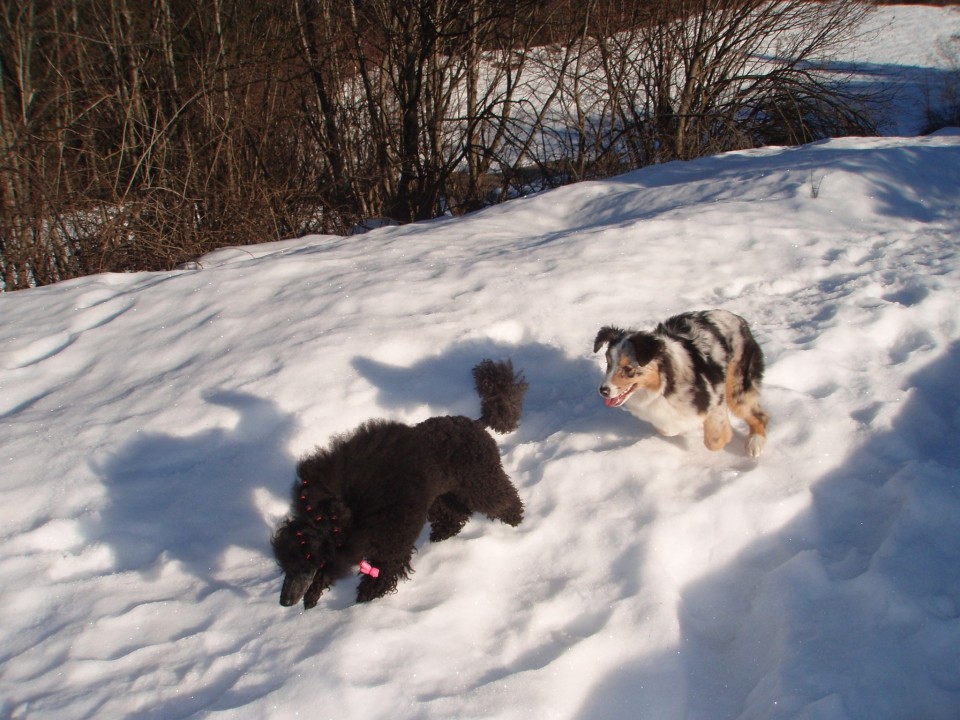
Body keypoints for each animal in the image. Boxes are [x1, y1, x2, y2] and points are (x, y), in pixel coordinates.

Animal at [270, 360, 528, 608]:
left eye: (306, 561)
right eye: (285, 567)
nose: (285, 601)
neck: (347, 512)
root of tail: (477, 422)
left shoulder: (392, 543)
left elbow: (385, 570)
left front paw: (366, 597)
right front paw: (313, 595)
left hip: (479, 480)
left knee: (501, 499)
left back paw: (515, 519)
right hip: (438, 495)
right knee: (454, 513)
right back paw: (444, 533)